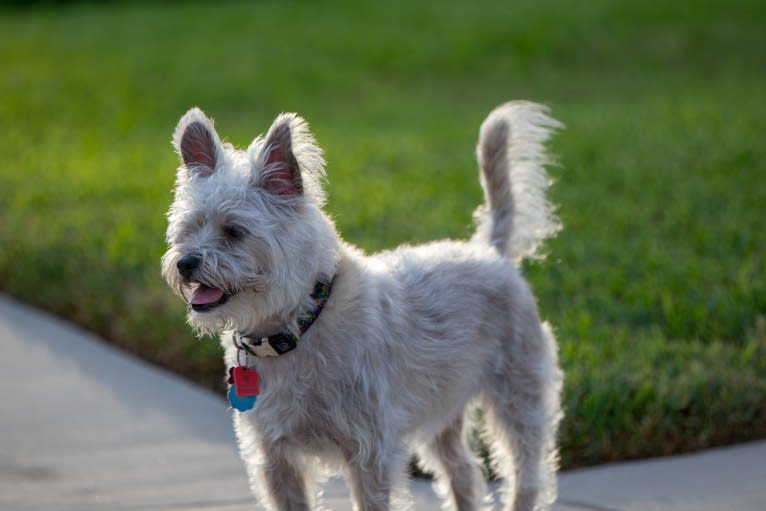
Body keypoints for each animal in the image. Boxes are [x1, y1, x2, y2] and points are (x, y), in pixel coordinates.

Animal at [162, 101, 568, 511]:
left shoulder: (370, 454)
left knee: (525, 474)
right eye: (189, 229)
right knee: (464, 473)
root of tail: (489, 250)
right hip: (444, 407)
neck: (298, 325)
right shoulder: (276, 458)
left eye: (234, 232)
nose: (185, 263)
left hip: (519, 398)